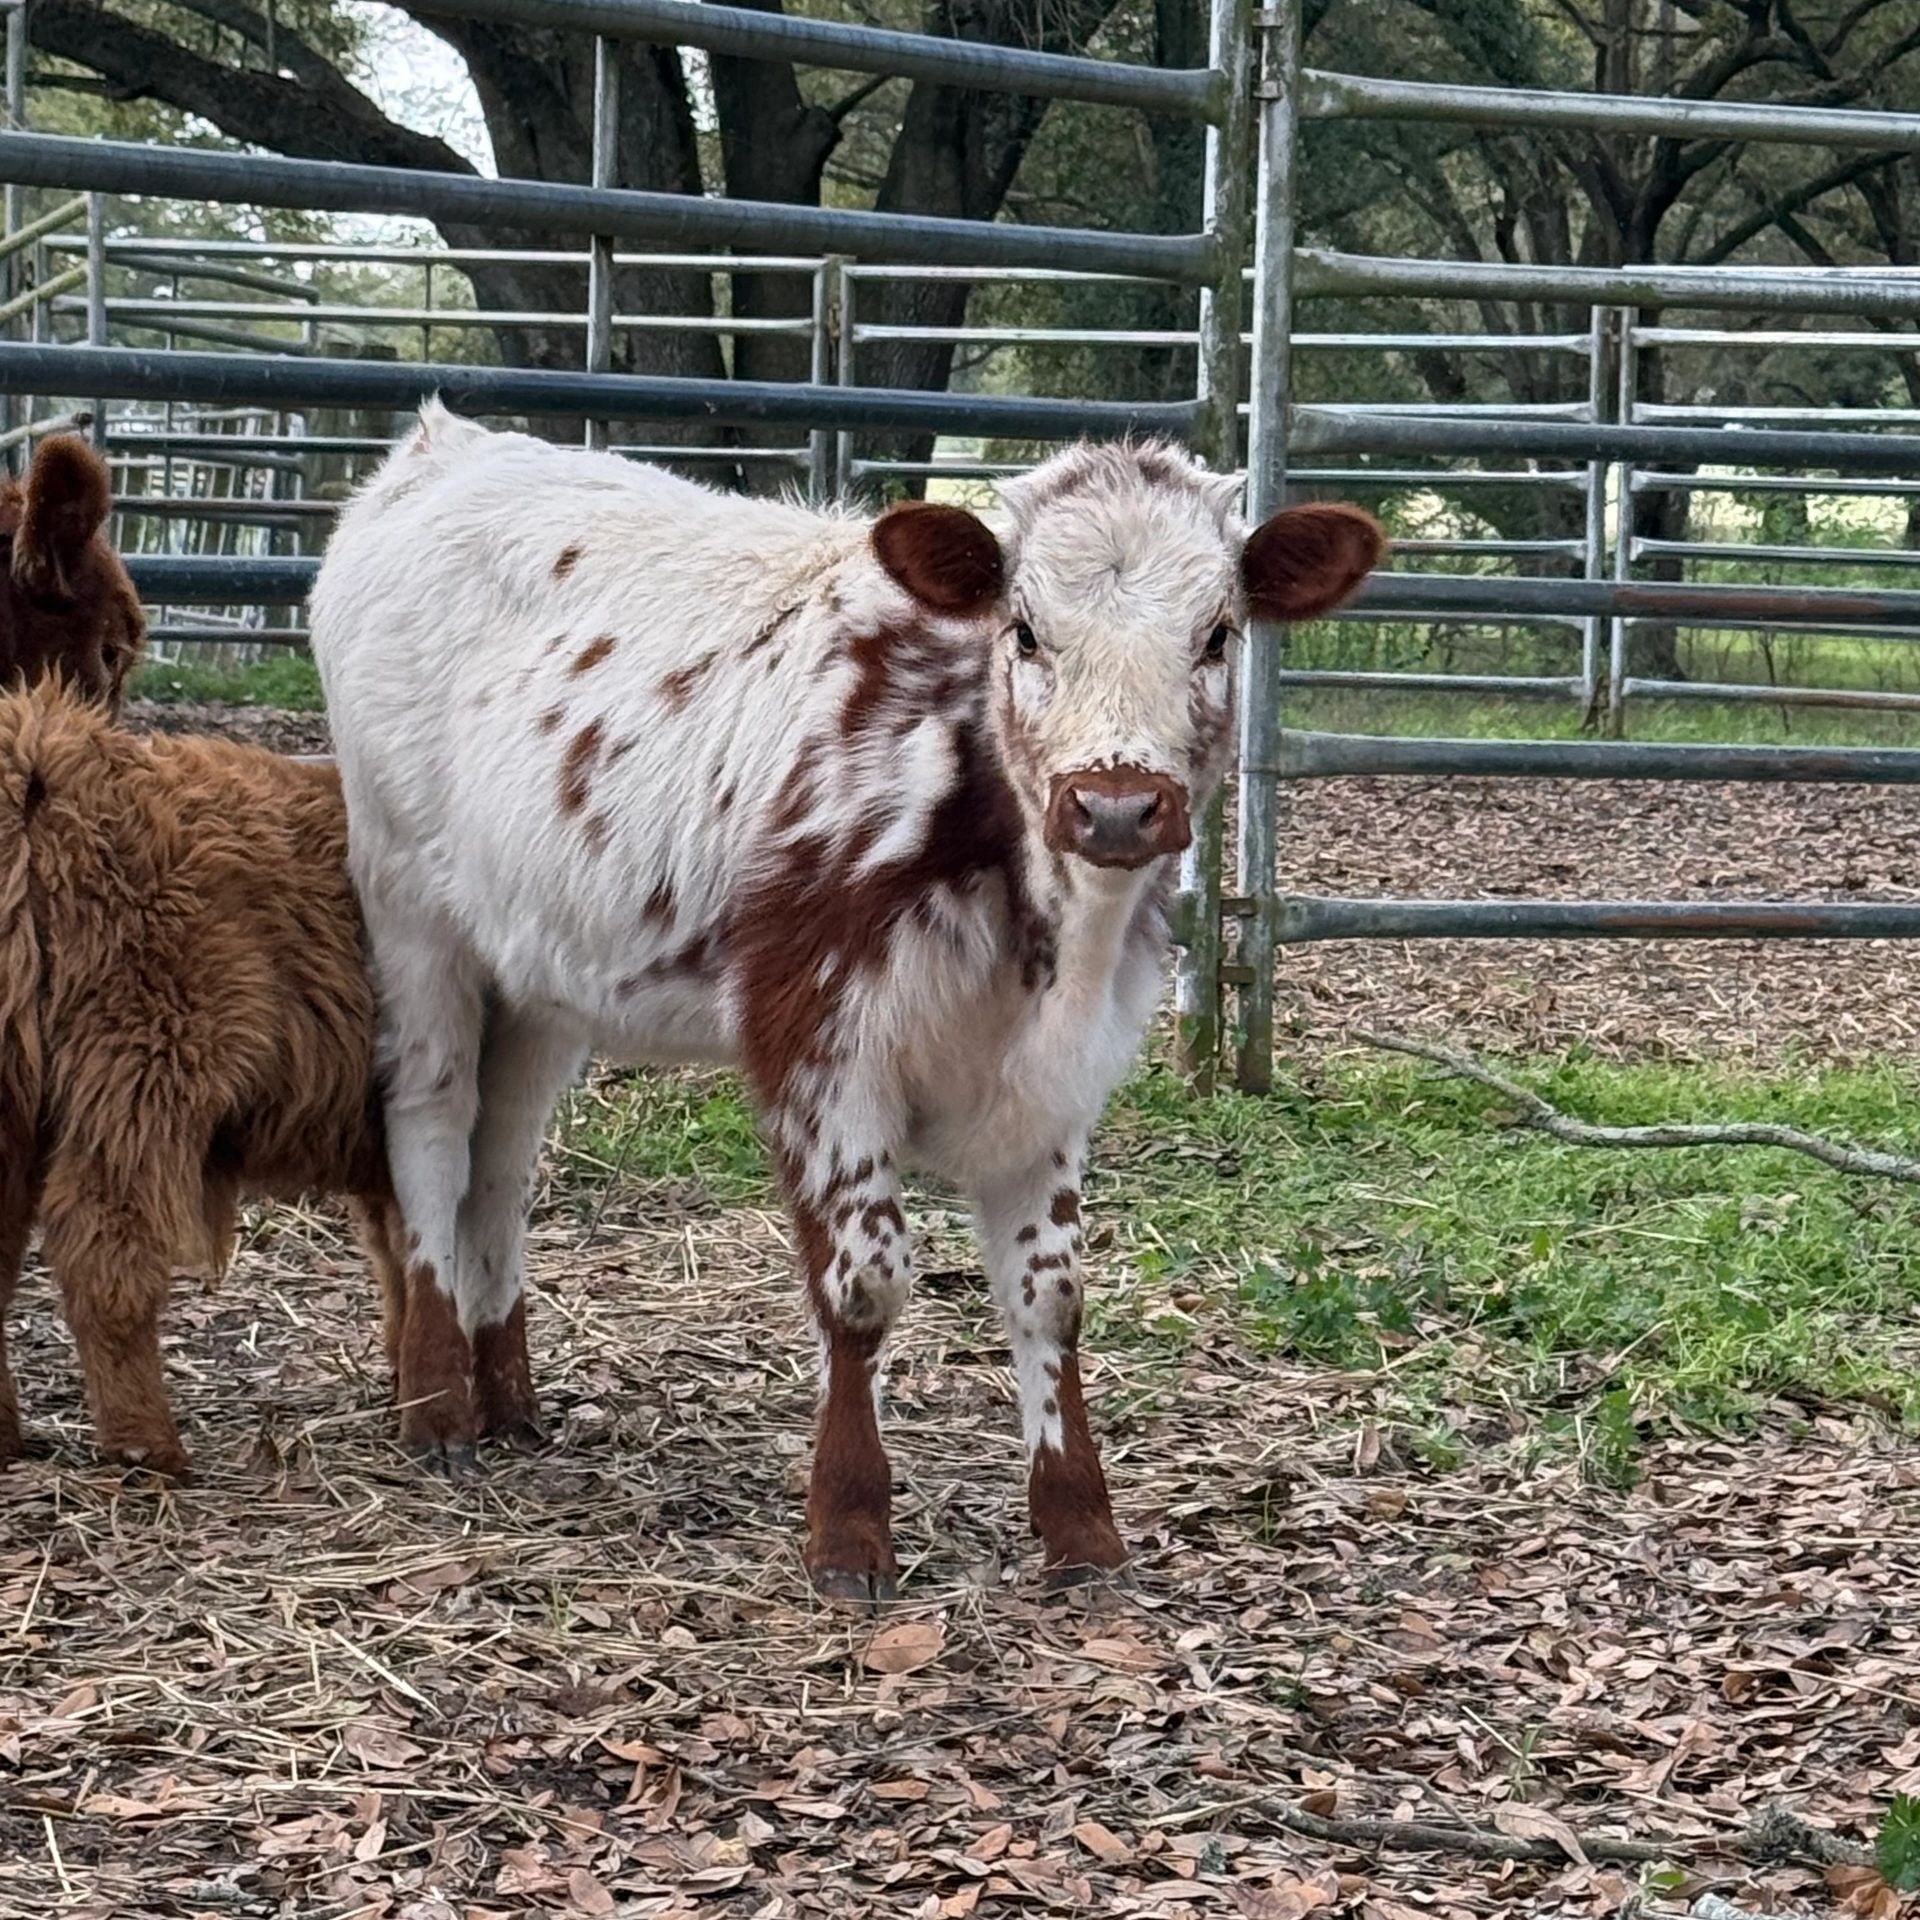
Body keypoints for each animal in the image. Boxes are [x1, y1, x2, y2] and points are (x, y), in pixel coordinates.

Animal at [311, 413, 1384, 1599]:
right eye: (1023, 630)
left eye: (1217, 634)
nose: (1113, 809)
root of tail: (445, 443)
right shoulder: (818, 1044)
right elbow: (864, 1283)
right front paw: (849, 1528)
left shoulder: (1058, 1082)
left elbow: (1050, 1293)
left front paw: (1081, 1528)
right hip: (412, 912)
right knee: (435, 1128)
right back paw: (437, 1402)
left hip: (537, 962)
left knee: (502, 1158)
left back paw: (506, 1396)